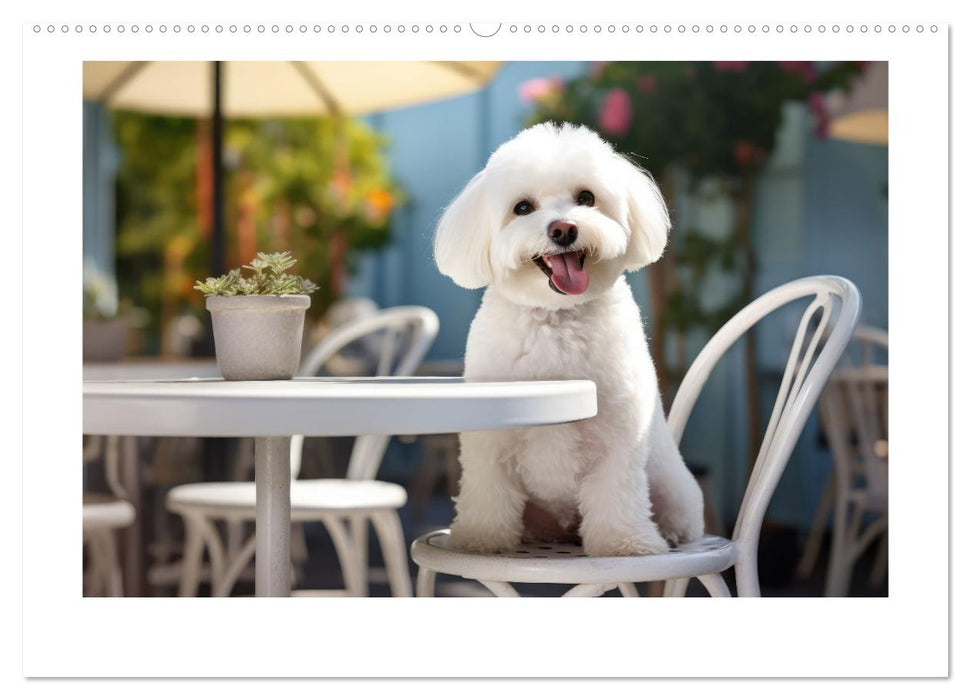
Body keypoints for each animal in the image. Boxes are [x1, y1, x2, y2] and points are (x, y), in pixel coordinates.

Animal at [436, 123, 704, 556]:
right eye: (522, 208)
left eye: (586, 198)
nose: (563, 228)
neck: (556, 317)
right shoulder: (490, 441)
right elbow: (488, 491)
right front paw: (480, 538)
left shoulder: (619, 436)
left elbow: (617, 494)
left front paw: (624, 543)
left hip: (674, 487)